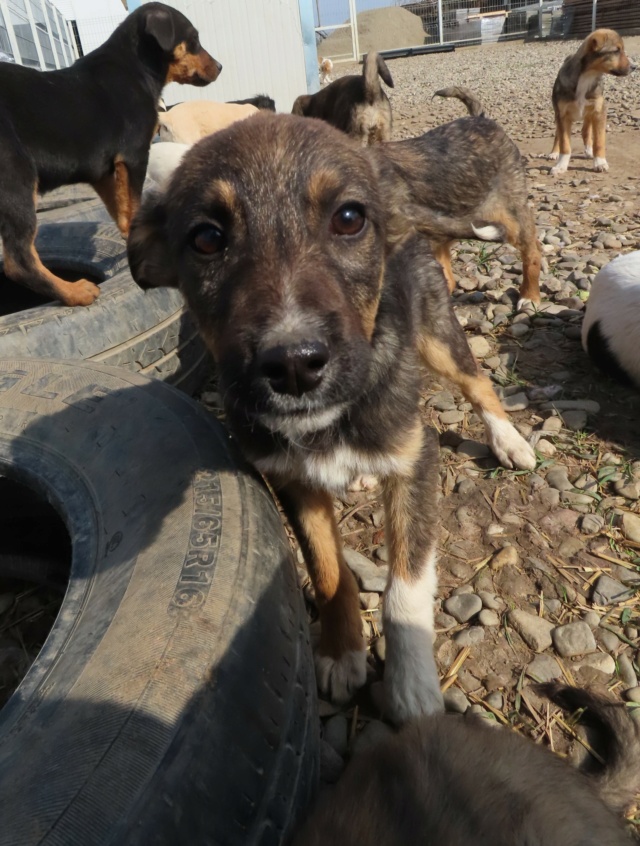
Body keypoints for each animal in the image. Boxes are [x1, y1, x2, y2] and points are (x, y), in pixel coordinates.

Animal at [0, 0, 220, 308]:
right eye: (194, 40)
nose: (220, 67)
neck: (137, 67)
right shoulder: (134, 155)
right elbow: (133, 203)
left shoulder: (103, 172)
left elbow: (121, 210)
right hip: (15, 178)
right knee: (19, 260)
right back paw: (75, 292)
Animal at [127, 114, 536, 724]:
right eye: (206, 238)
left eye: (348, 218)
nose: (294, 365)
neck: (327, 423)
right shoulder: (291, 481)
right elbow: (328, 572)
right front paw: (342, 653)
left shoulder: (416, 459)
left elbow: (405, 587)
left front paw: (412, 688)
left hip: (437, 335)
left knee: (478, 383)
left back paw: (509, 438)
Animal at [548, 27, 632, 176]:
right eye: (616, 50)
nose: (634, 67)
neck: (588, 76)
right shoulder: (562, 115)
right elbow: (565, 143)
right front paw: (561, 165)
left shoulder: (598, 112)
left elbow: (599, 141)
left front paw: (600, 162)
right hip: (559, 114)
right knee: (558, 134)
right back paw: (554, 153)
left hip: (588, 114)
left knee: (585, 131)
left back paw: (589, 151)